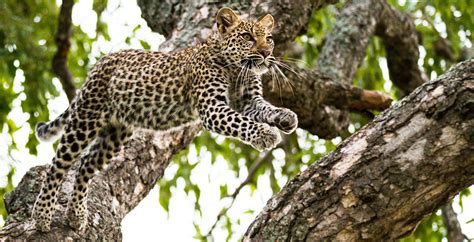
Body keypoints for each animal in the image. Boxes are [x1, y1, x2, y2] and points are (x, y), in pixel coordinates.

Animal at [32, 6, 296, 232]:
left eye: (269, 39)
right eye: (247, 37)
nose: (266, 54)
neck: (236, 69)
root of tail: (101, 62)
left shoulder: (249, 101)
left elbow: (265, 109)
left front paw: (286, 117)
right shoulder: (211, 107)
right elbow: (241, 122)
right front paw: (264, 134)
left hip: (115, 134)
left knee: (86, 164)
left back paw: (76, 214)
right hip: (86, 118)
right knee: (57, 165)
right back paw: (42, 215)